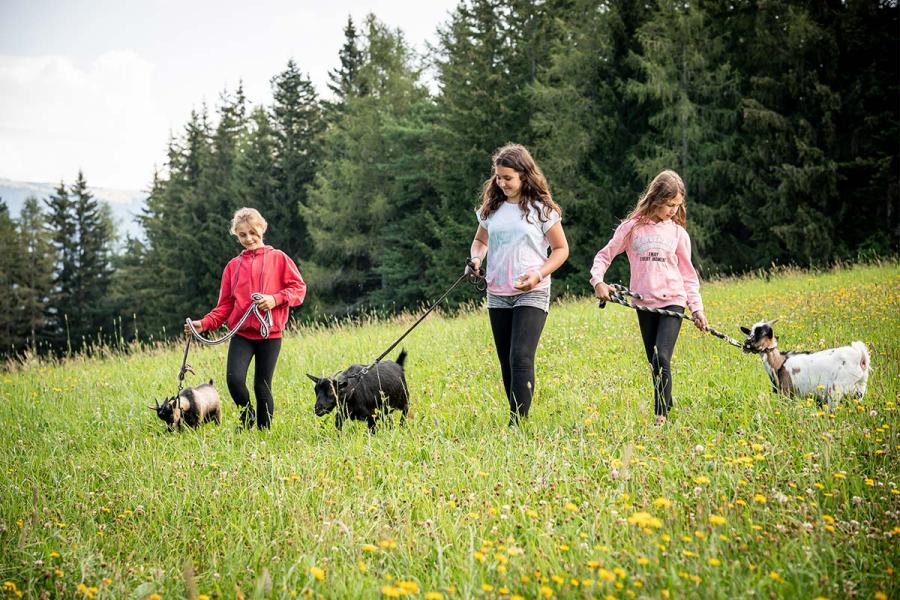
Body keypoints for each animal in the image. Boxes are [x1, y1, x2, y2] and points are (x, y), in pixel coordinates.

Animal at [740, 318, 872, 408]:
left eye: (762, 333)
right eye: (750, 332)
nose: (746, 344)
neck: (780, 363)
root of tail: (861, 357)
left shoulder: (787, 393)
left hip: (836, 390)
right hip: (858, 390)